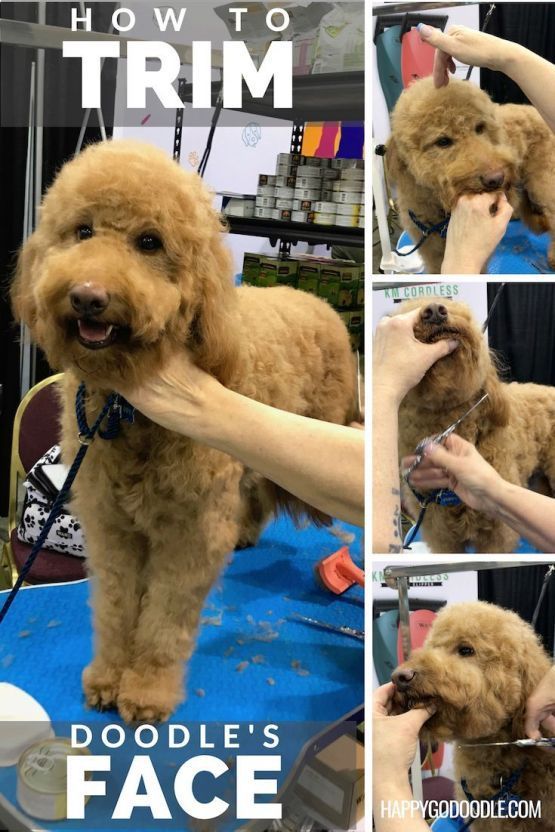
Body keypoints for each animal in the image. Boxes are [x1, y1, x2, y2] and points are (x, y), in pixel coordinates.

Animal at [11, 138, 356, 720]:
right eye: (82, 231)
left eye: (149, 242)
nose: (87, 296)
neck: (126, 410)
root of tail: (318, 301)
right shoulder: (112, 527)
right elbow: (116, 609)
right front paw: (108, 676)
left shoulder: (188, 534)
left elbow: (163, 624)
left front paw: (147, 691)